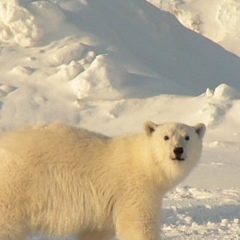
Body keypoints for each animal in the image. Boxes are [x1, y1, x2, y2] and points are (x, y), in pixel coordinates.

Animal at [0, 122, 205, 240]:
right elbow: (139, 225)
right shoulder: (133, 188)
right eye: (166, 137)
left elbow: (96, 232)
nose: (178, 150)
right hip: (15, 187)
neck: (145, 162)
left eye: (187, 137)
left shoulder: (102, 208)